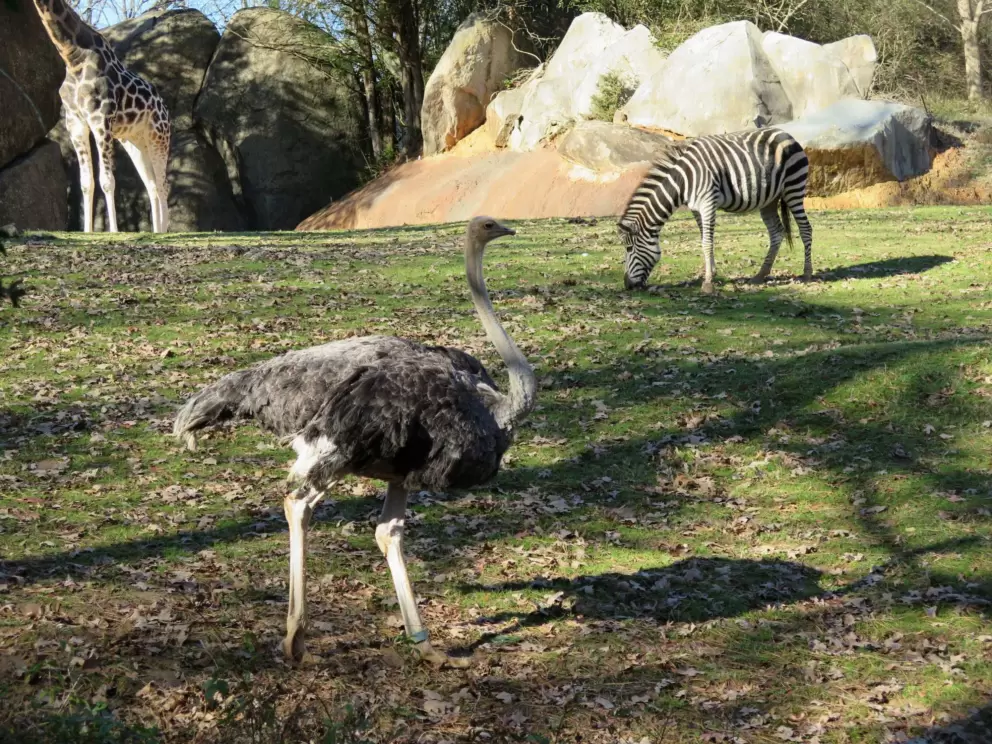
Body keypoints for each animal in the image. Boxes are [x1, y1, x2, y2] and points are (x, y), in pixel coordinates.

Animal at [618, 127, 813, 294]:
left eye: (629, 248)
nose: (627, 285)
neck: (683, 181)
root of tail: (786, 134)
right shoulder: (695, 208)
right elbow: (703, 239)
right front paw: (711, 274)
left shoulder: (708, 203)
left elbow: (707, 242)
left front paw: (707, 282)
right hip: (770, 200)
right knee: (777, 232)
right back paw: (760, 275)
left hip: (793, 188)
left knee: (805, 229)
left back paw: (807, 274)